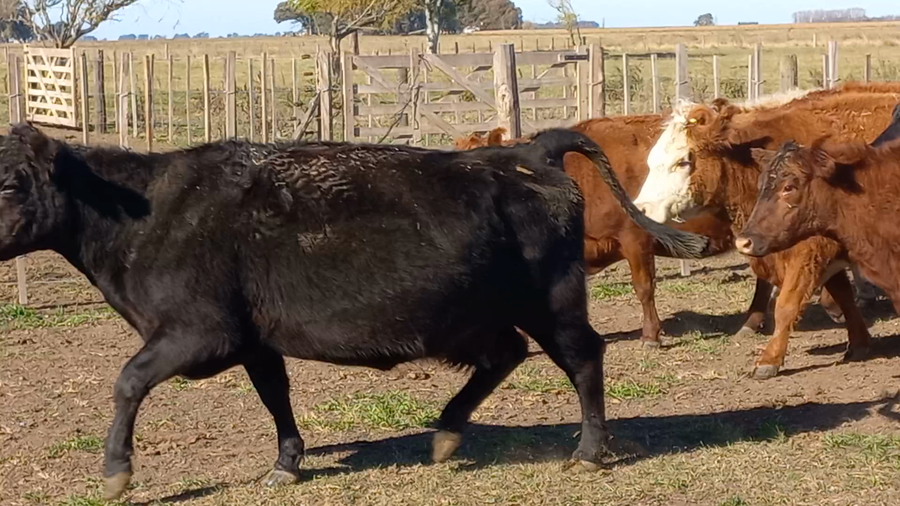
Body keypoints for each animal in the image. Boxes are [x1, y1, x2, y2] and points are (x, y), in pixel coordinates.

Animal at [0, 123, 706, 500]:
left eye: (10, 182)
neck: (145, 213)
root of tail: (527, 151)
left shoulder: (198, 332)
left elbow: (127, 382)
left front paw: (116, 472)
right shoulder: (255, 340)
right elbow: (275, 396)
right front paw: (287, 463)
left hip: (551, 302)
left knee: (584, 356)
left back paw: (587, 451)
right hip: (485, 314)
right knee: (505, 355)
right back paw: (446, 433)